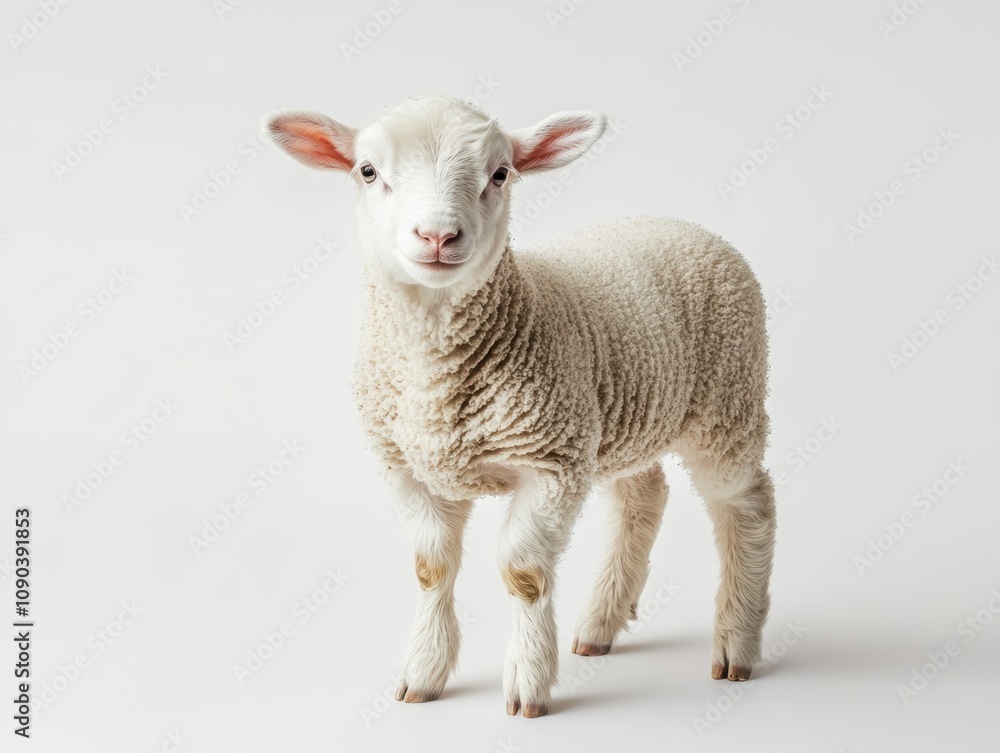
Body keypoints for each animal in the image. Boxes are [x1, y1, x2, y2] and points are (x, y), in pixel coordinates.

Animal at [265, 96, 777, 718]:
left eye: (500, 173)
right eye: (367, 171)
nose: (437, 235)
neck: (438, 386)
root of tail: (684, 224)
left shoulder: (552, 464)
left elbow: (523, 573)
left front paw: (528, 684)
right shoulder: (407, 467)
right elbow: (431, 568)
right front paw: (424, 672)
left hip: (728, 402)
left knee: (747, 505)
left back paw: (736, 642)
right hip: (625, 418)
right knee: (643, 496)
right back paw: (601, 623)